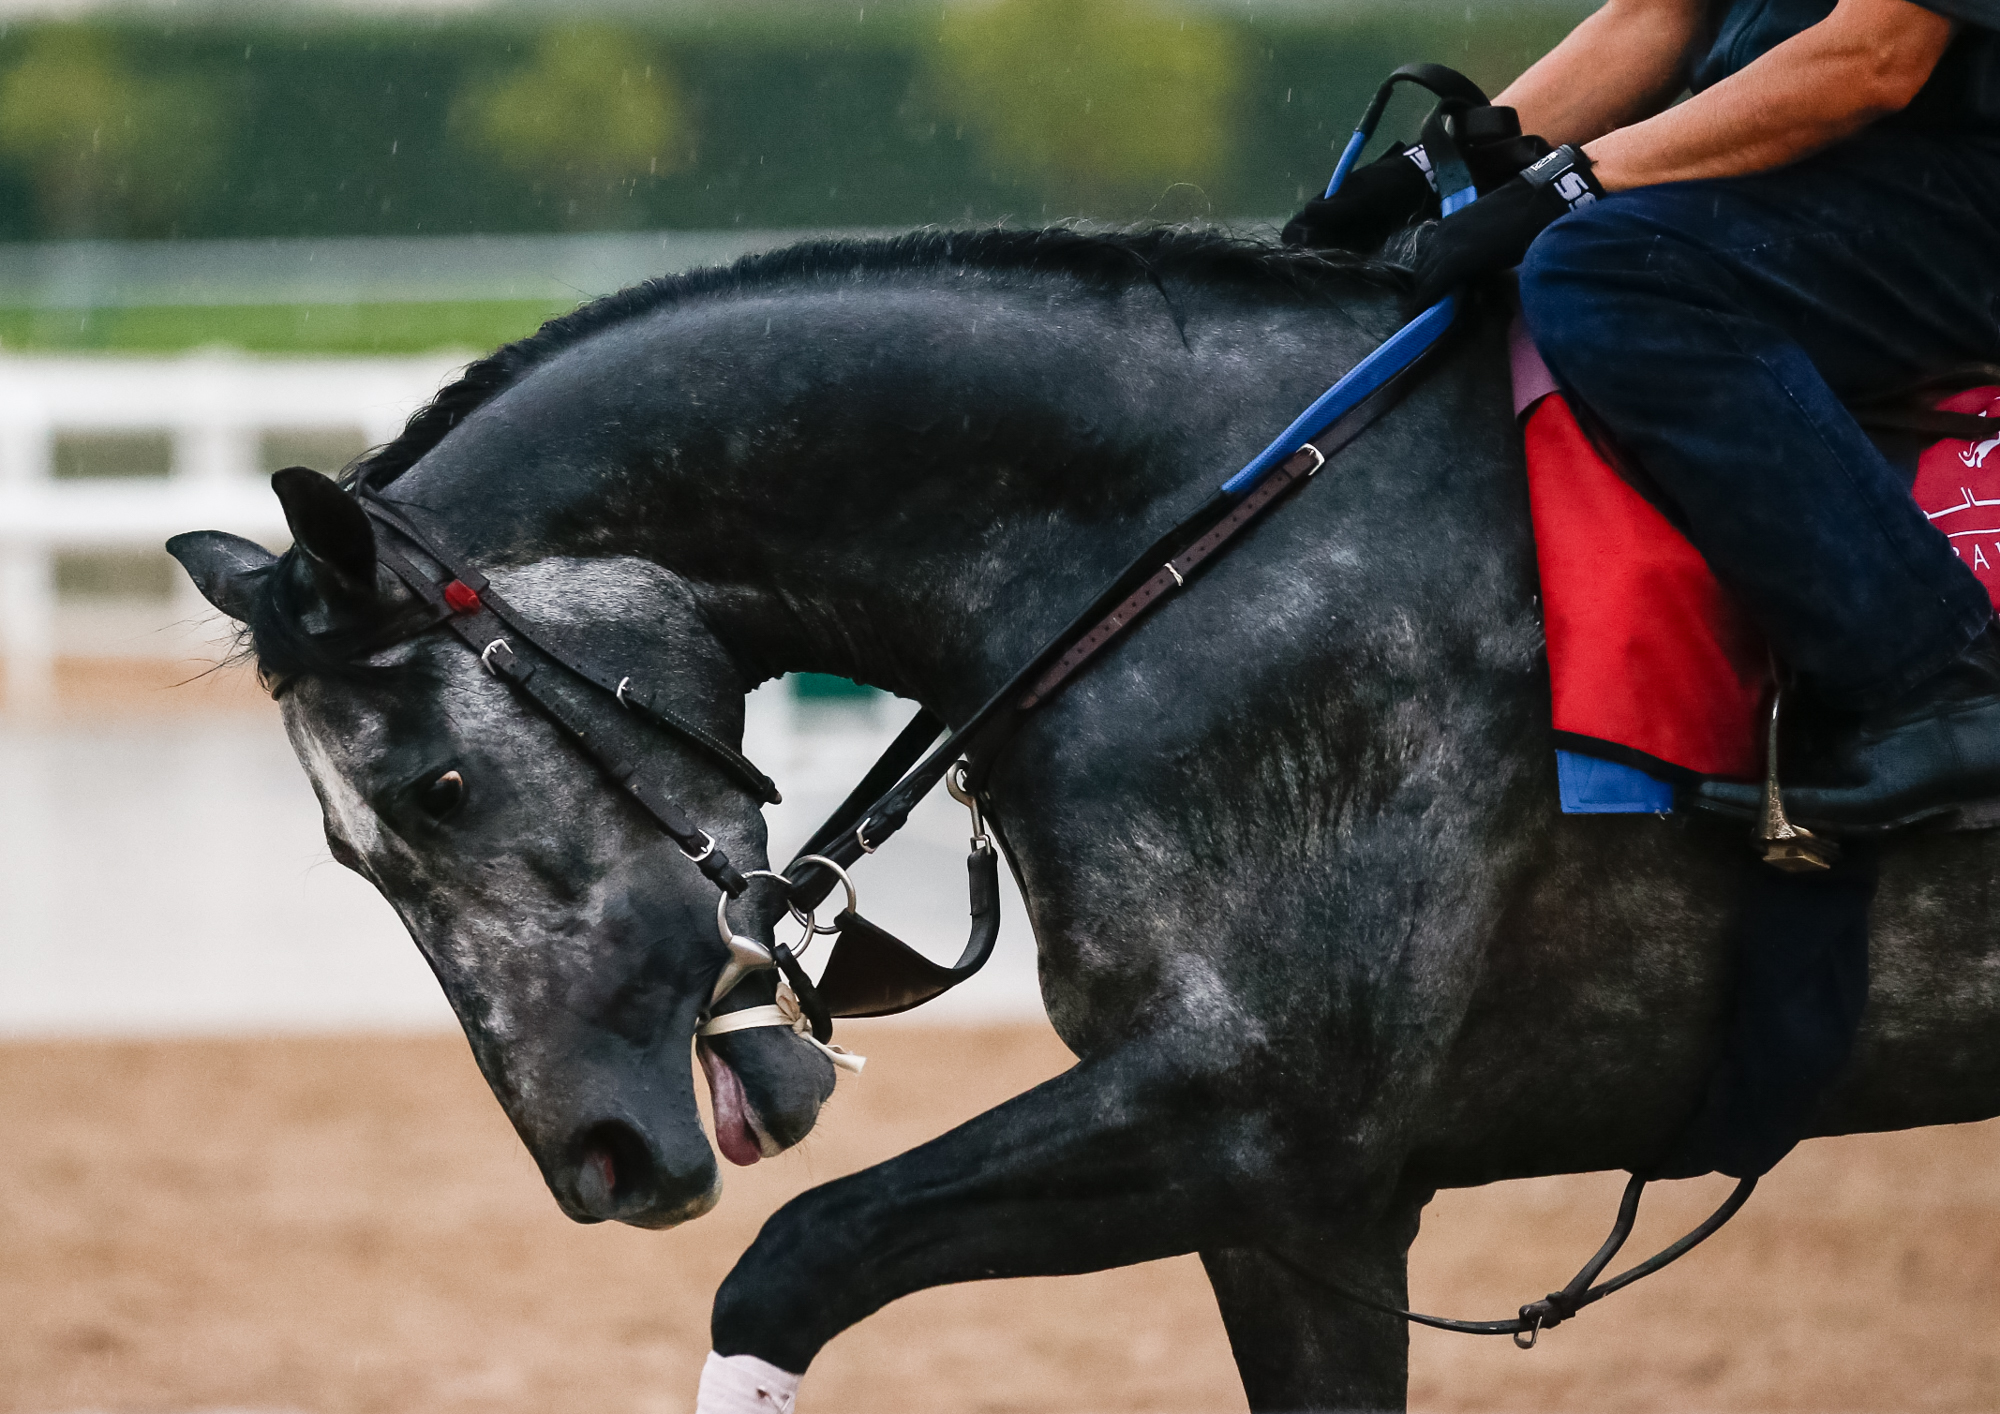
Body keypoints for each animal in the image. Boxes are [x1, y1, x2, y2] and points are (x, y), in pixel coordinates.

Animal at [166, 227, 2000, 1412]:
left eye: (442, 785)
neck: (1198, 551)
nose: (600, 1159)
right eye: (348, 852)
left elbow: (793, 1262)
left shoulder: (1258, 1113)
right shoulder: (1303, 1209)